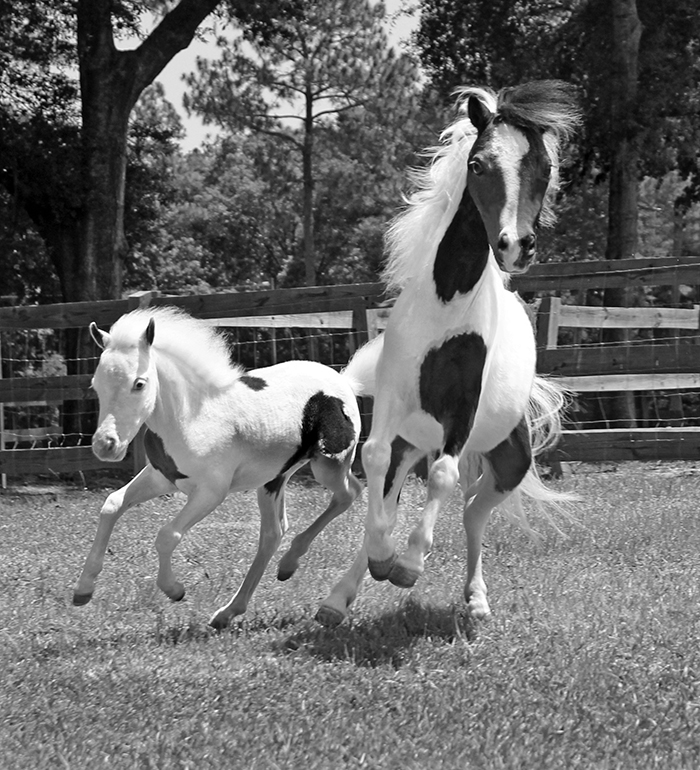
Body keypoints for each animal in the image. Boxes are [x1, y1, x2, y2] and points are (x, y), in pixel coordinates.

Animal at [74, 306, 364, 632]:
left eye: (139, 383)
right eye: (96, 385)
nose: (105, 445)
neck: (191, 418)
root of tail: (345, 381)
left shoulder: (211, 492)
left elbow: (167, 535)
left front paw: (174, 589)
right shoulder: (161, 478)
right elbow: (111, 505)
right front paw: (83, 589)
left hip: (328, 465)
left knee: (349, 493)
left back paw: (293, 567)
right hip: (273, 480)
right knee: (273, 533)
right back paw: (237, 605)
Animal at [318, 81, 580, 628]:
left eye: (546, 168)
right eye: (478, 164)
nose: (516, 246)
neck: (446, 303)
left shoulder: (462, 410)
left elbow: (443, 477)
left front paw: (409, 566)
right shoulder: (393, 399)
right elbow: (373, 463)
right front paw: (382, 559)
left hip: (509, 461)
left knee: (472, 511)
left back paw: (476, 600)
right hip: (411, 443)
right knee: (397, 492)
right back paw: (340, 595)